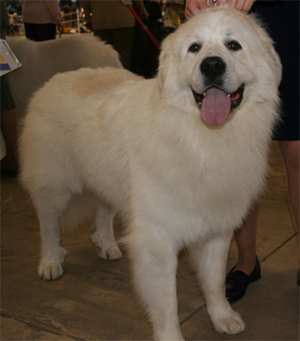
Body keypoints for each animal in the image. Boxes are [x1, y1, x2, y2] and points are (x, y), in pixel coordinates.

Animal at [20, 8, 282, 340]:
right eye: (194, 48)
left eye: (233, 45)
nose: (212, 65)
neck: (201, 139)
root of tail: (58, 78)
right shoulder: (158, 239)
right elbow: (167, 302)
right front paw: (170, 335)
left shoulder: (216, 228)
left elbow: (214, 282)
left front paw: (222, 316)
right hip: (54, 184)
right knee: (48, 225)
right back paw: (50, 262)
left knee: (103, 210)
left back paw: (106, 244)